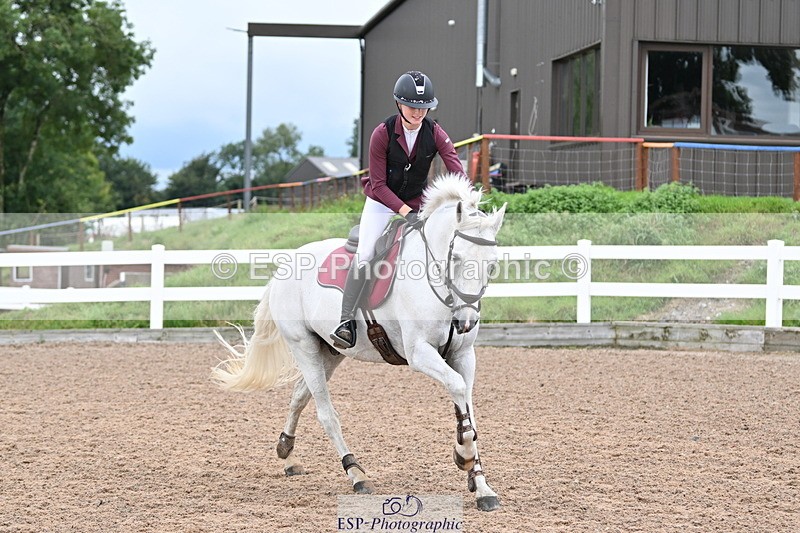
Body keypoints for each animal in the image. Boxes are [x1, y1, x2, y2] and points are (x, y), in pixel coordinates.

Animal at [212, 174, 506, 511]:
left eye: (492, 265)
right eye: (455, 258)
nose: (465, 321)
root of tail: (284, 268)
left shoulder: (463, 354)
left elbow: (467, 406)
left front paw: (480, 484)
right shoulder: (419, 353)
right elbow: (457, 388)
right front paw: (464, 456)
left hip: (330, 351)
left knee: (299, 396)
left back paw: (287, 453)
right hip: (303, 346)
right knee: (326, 413)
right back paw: (355, 473)